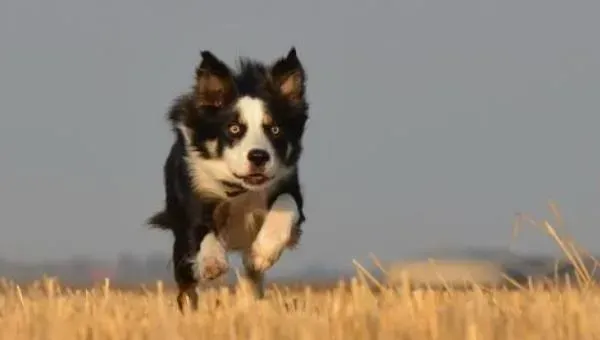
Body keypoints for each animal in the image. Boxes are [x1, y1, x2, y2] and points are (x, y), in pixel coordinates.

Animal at [147, 47, 310, 310]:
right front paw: (212, 261)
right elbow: (202, 229)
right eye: (234, 129)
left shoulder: (287, 184)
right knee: (187, 287)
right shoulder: (196, 193)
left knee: (251, 278)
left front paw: (263, 252)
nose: (259, 156)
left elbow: (286, 204)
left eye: (275, 129)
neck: (241, 188)